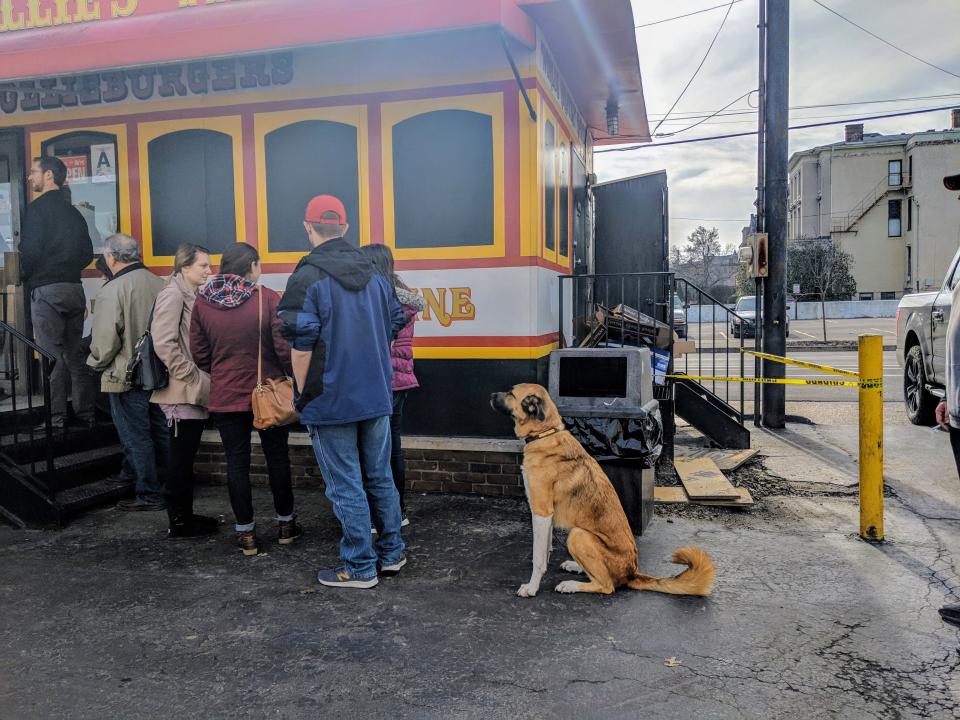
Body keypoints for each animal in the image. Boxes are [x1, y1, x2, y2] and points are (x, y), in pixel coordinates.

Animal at [496, 386, 712, 600]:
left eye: (511, 393)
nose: (491, 395)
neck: (545, 433)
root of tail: (632, 572)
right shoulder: (546, 515)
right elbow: (545, 548)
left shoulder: (541, 512)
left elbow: (538, 558)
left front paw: (532, 587)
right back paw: (576, 566)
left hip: (578, 535)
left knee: (606, 585)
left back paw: (571, 585)